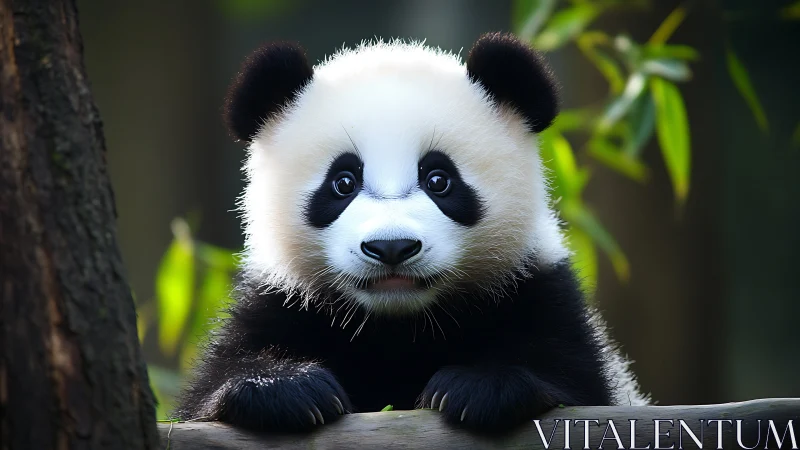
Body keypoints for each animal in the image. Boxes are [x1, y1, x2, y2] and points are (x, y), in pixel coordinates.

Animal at [175, 32, 649, 433]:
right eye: (343, 182)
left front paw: (476, 388)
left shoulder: (539, 290)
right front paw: (287, 388)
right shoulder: (279, 301)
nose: (392, 247)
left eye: (439, 179)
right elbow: (210, 391)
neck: (400, 324)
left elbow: (575, 385)